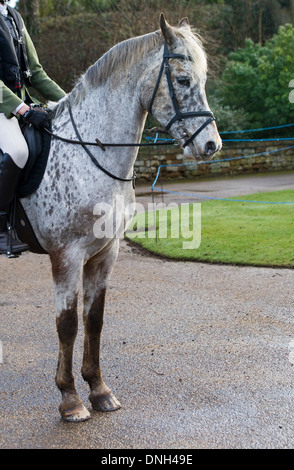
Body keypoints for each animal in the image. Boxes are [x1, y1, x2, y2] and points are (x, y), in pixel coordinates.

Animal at [19, 13, 220, 422]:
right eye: (183, 80)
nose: (211, 145)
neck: (90, 152)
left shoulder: (104, 252)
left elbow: (94, 320)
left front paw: (98, 390)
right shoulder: (66, 256)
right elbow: (68, 324)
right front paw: (70, 398)